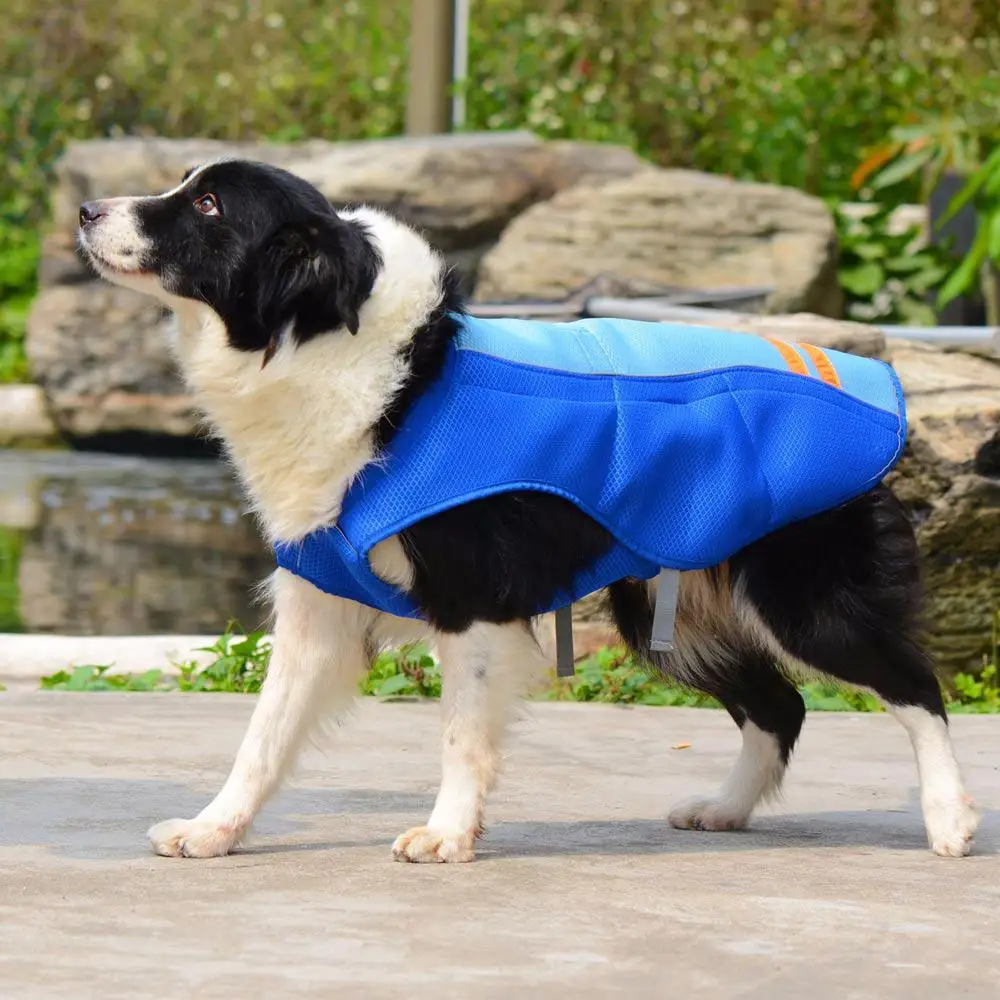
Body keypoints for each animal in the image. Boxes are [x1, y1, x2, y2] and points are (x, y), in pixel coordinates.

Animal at [76, 160, 976, 864]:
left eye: (207, 205)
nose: (85, 210)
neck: (379, 372)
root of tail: (880, 389)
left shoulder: (476, 599)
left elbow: (460, 733)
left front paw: (445, 835)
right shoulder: (317, 604)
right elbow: (262, 737)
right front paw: (213, 829)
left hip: (799, 598)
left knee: (915, 686)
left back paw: (950, 820)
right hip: (670, 602)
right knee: (780, 707)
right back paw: (725, 809)